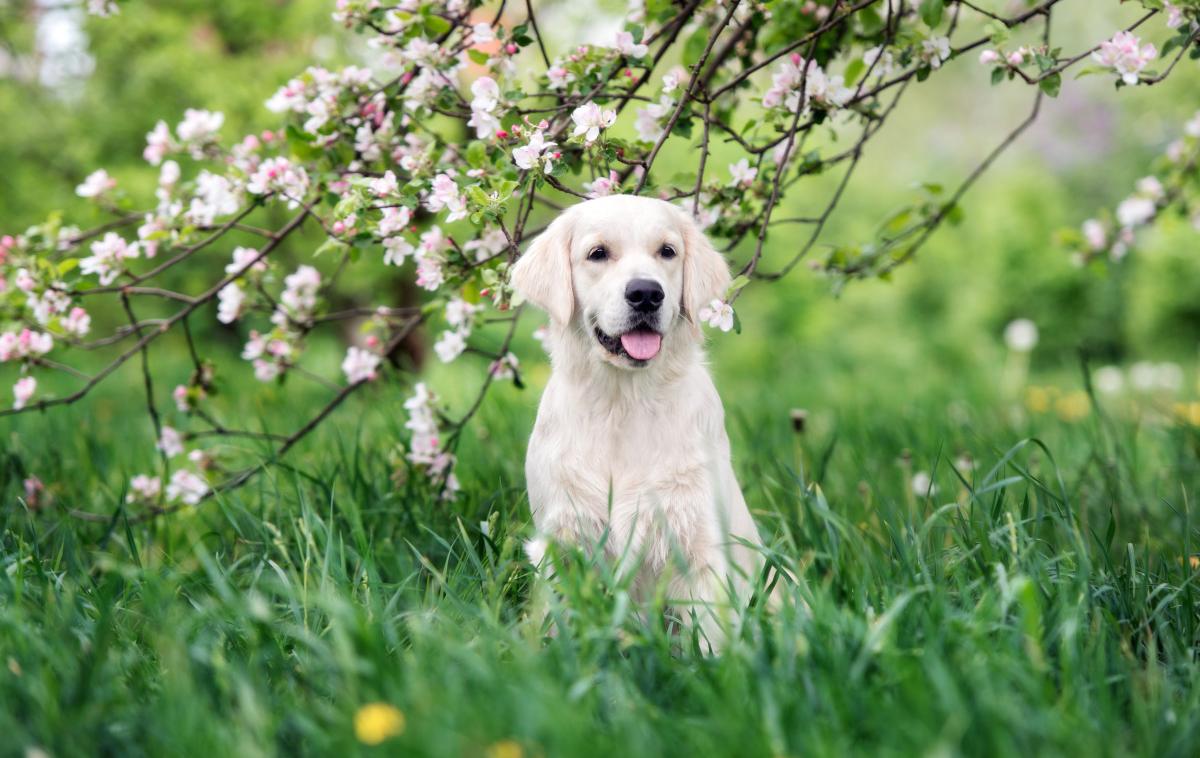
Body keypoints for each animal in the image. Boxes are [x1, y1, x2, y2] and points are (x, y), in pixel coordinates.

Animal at [506, 195, 768, 647]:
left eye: (667, 251)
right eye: (597, 253)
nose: (646, 293)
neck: (623, 403)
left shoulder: (700, 547)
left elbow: (711, 639)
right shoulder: (563, 538)